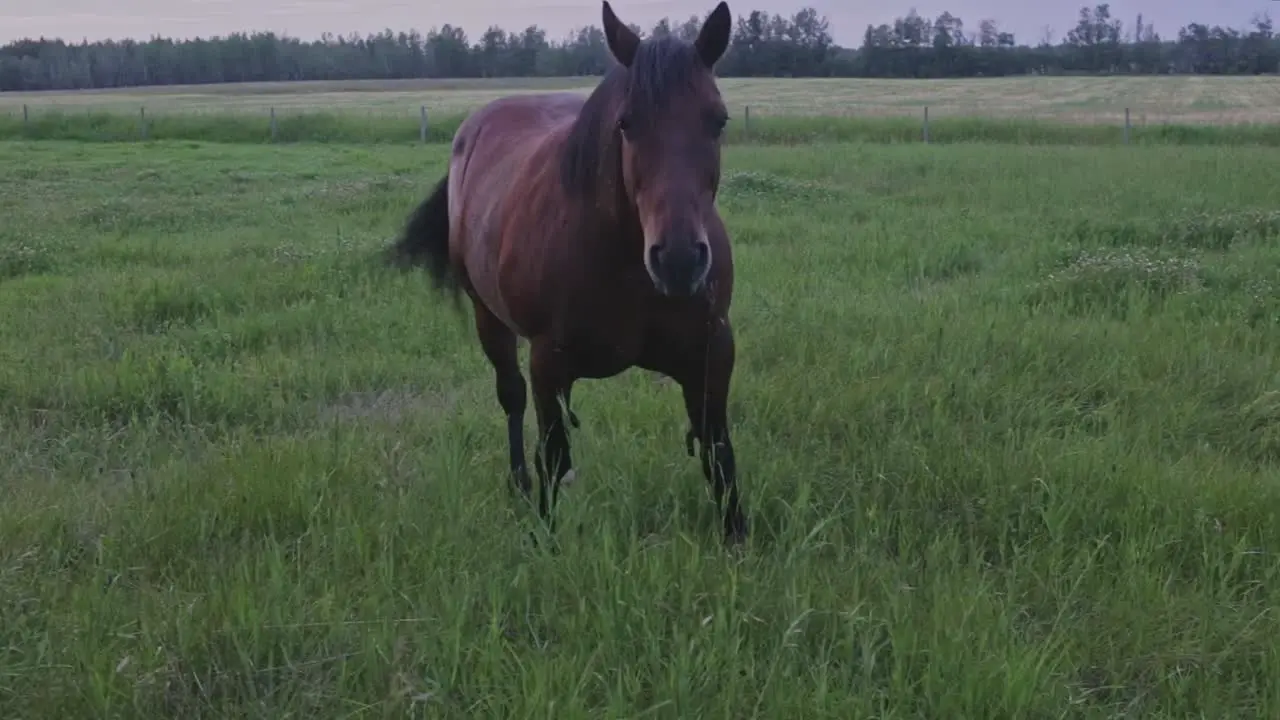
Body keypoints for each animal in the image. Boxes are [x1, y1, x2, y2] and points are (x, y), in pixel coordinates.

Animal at [389, 1, 747, 543]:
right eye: (626, 123)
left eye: (718, 120)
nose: (680, 260)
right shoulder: (548, 362)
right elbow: (554, 457)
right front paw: (547, 539)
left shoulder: (712, 354)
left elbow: (719, 455)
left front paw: (738, 538)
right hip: (488, 318)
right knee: (511, 397)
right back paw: (518, 483)